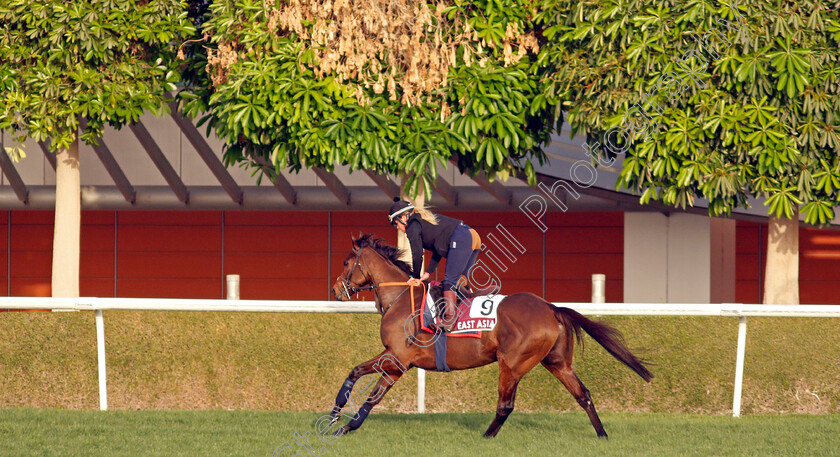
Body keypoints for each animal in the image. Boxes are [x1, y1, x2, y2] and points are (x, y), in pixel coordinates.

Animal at [326, 235, 648, 438]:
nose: (335, 290)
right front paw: (336, 417)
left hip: (512, 363)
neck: (401, 299)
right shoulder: (393, 358)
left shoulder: (398, 359)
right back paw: (602, 435)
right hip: (557, 363)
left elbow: (371, 394)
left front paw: (344, 426)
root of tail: (551, 307)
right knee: (583, 395)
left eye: (345, 262)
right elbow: (355, 373)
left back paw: (485, 437)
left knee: (505, 405)